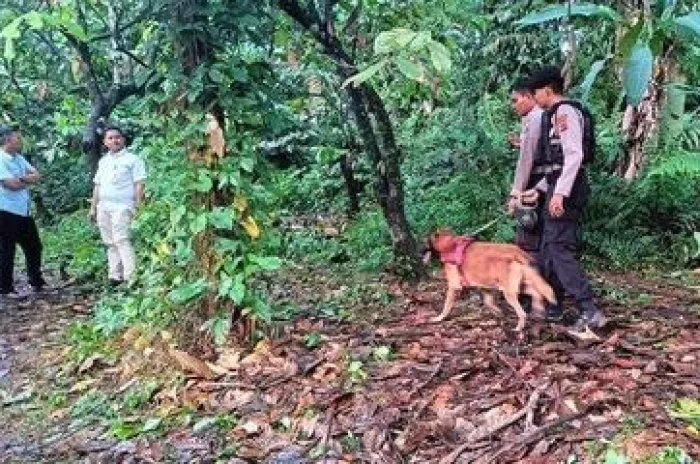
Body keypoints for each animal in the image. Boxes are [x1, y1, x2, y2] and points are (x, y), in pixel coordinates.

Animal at [422, 229, 556, 332]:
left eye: (424, 242)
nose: (419, 253)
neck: (449, 244)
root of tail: (518, 254)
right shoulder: (486, 288)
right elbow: (488, 302)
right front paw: (498, 312)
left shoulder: (454, 287)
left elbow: (446, 307)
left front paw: (439, 318)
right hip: (520, 286)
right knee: (537, 293)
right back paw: (538, 309)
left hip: (509, 293)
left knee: (523, 312)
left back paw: (519, 328)